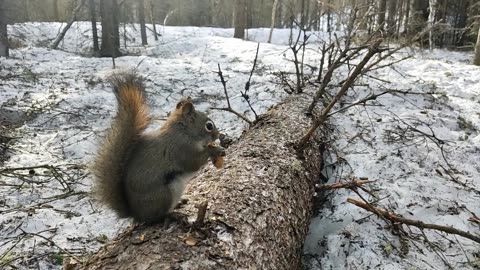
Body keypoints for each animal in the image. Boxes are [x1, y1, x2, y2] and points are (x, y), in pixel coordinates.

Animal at [93, 73, 226, 223]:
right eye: (209, 126)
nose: (218, 135)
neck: (183, 132)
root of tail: (136, 214)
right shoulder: (180, 149)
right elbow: (193, 163)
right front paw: (215, 149)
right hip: (164, 195)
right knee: (157, 216)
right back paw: (173, 214)